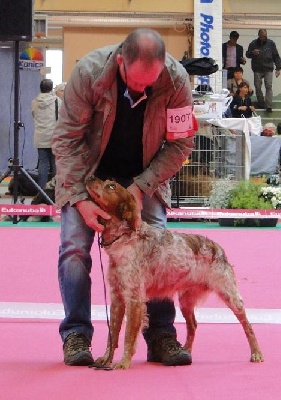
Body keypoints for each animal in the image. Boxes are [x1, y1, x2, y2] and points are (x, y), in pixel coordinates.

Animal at [85, 177, 262, 370]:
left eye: (111, 186)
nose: (90, 177)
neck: (124, 239)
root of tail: (217, 248)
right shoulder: (117, 297)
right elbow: (112, 334)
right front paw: (105, 359)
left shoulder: (134, 299)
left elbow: (128, 336)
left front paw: (123, 363)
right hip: (186, 300)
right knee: (193, 325)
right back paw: (185, 351)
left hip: (229, 294)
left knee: (247, 325)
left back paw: (256, 353)